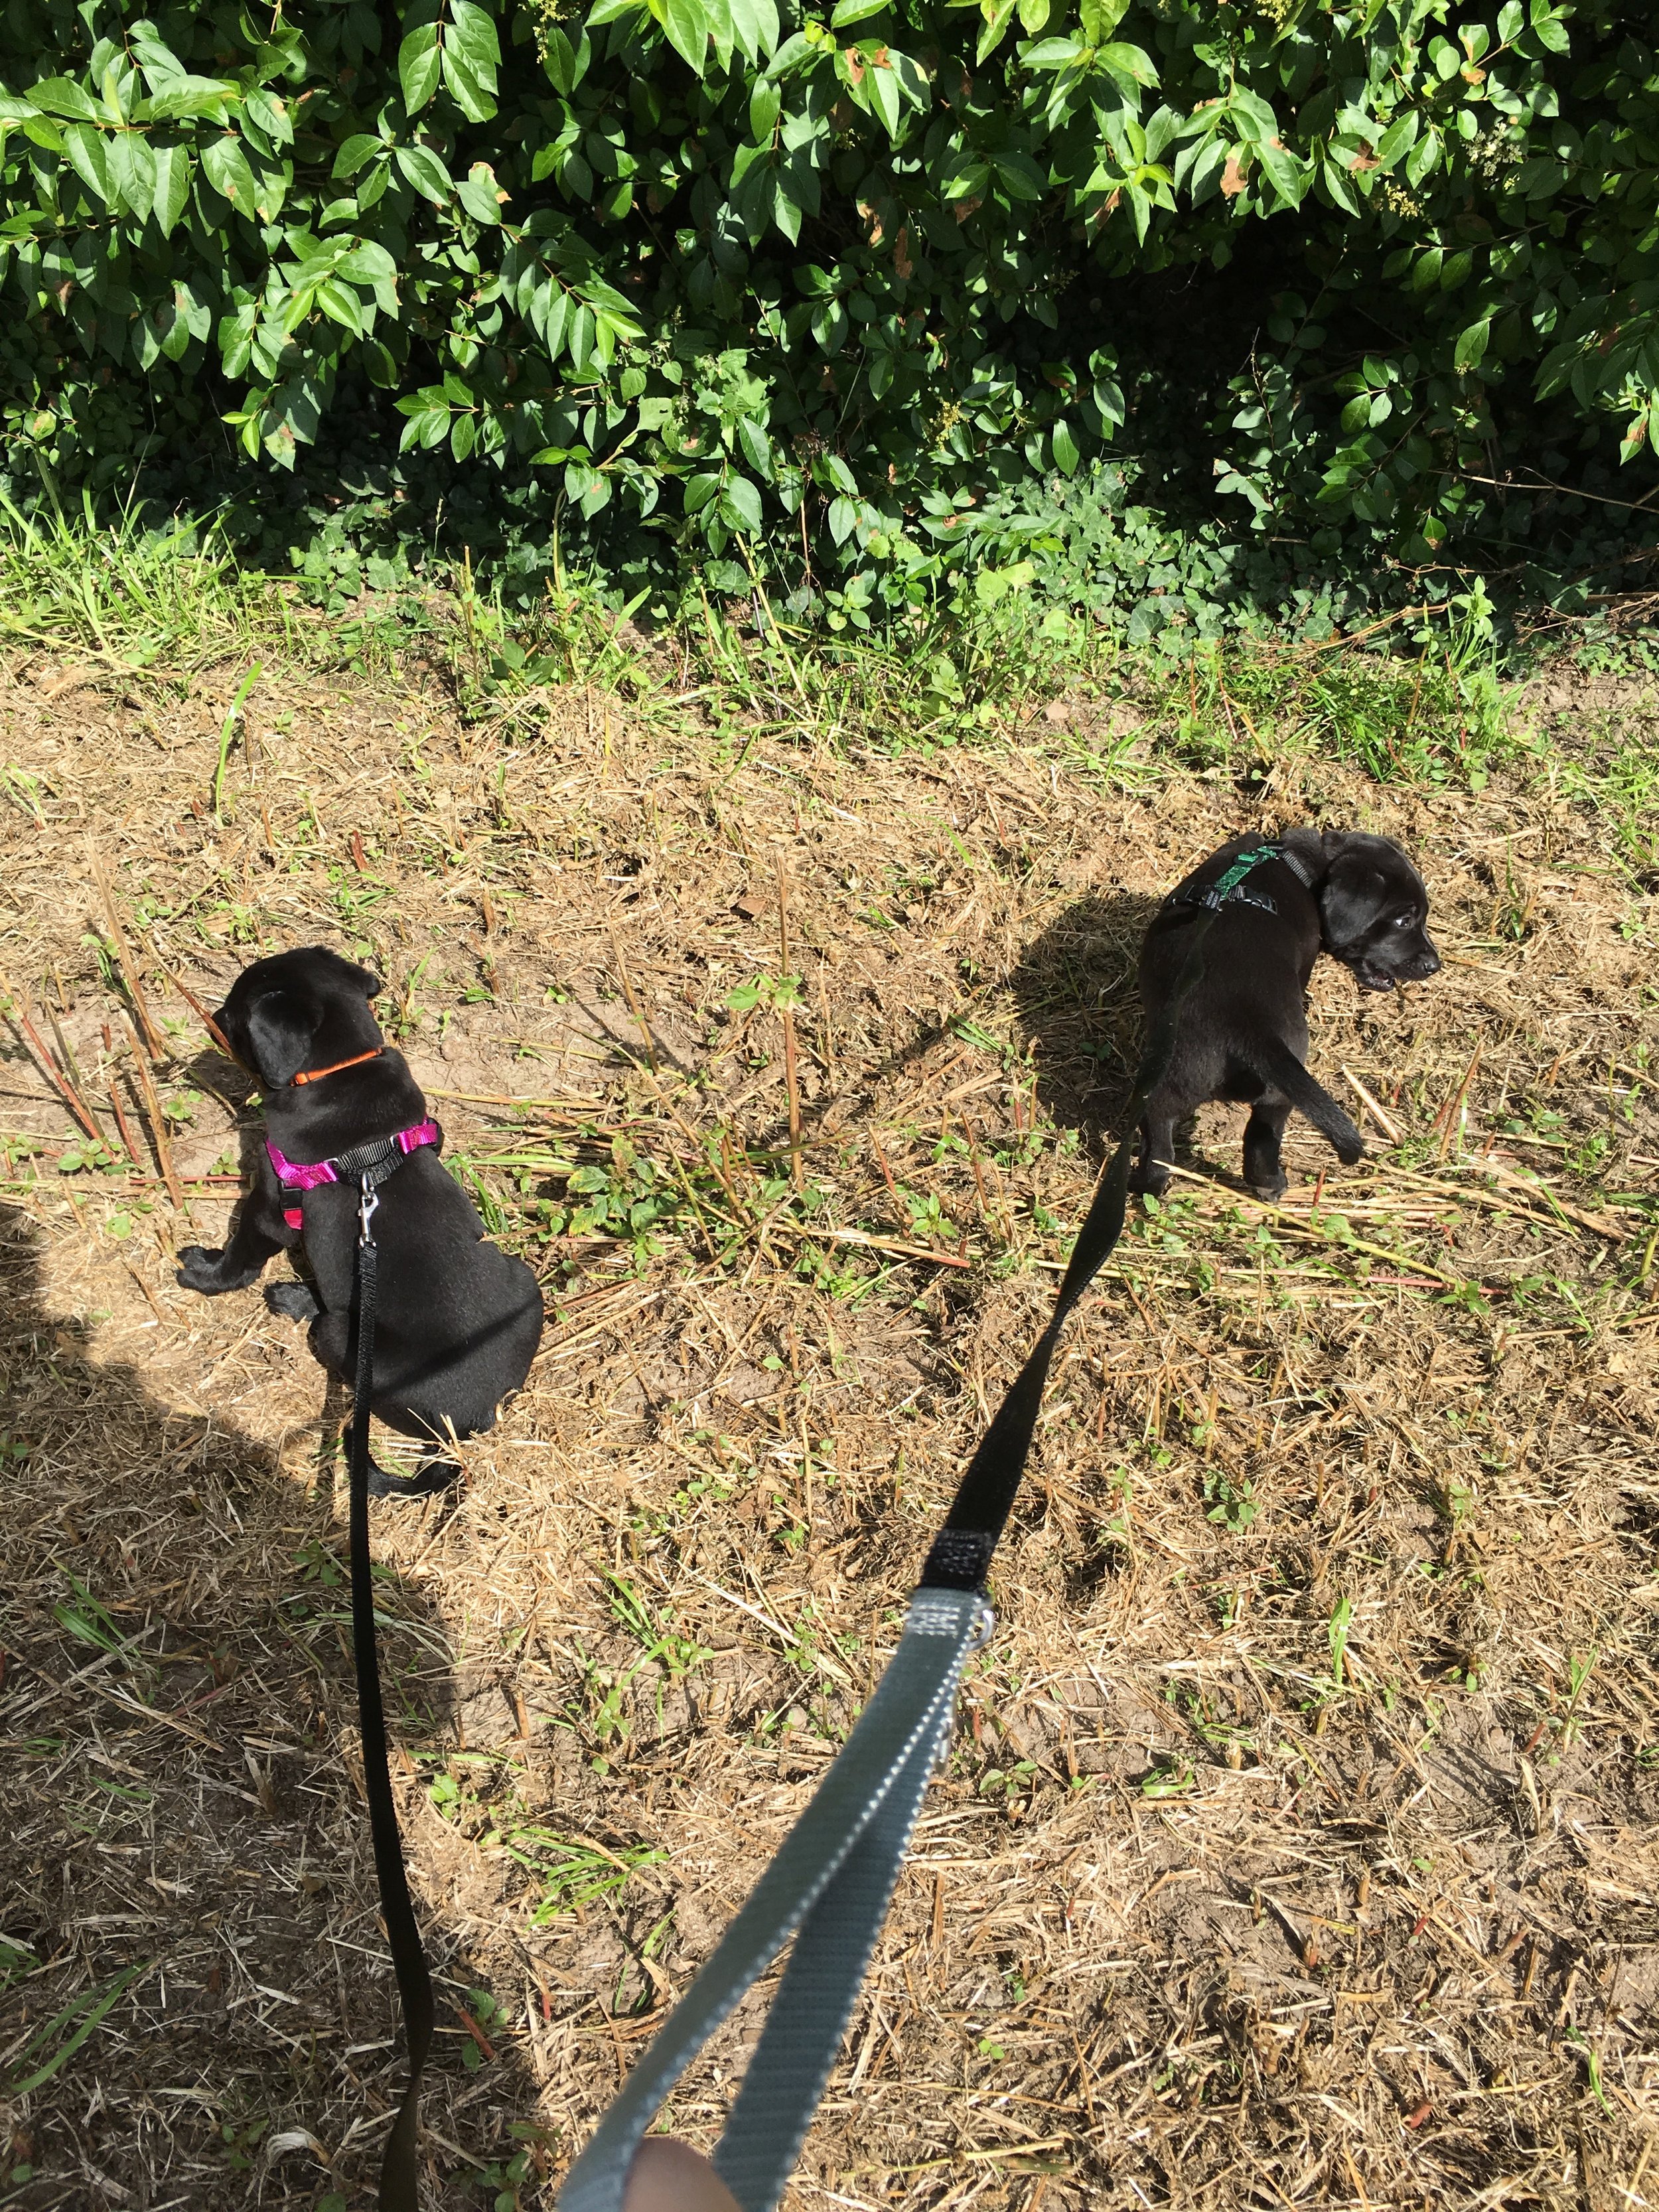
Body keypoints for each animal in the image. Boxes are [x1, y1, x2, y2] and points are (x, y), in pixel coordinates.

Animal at [181, 942, 546, 1495]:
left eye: (235, 1013)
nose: (212, 1019)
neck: (339, 1067)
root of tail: (469, 1426)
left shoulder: (271, 1207)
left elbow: (240, 1256)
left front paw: (204, 1274)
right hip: (525, 1281)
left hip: (342, 1336)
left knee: (331, 1325)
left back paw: (294, 1299)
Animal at [1132, 832, 1442, 1203]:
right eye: (1403, 920)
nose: (1435, 966)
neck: (1300, 864)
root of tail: (1248, 1026)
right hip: (1256, 1082)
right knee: (1241, 1135)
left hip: (1197, 1078)